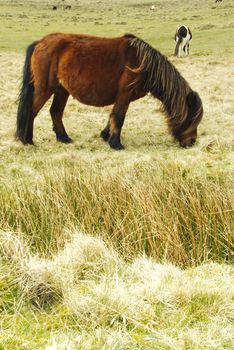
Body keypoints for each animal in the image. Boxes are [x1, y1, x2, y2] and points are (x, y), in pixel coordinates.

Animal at [16, 33, 203, 151]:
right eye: (191, 119)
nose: (192, 142)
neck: (144, 63)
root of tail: (40, 42)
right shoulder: (125, 93)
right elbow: (119, 117)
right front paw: (116, 144)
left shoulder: (123, 97)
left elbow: (113, 116)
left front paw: (106, 136)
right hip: (45, 88)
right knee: (32, 111)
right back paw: (27, 140)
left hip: (61, 90)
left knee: (55, 111)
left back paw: (64, 138)